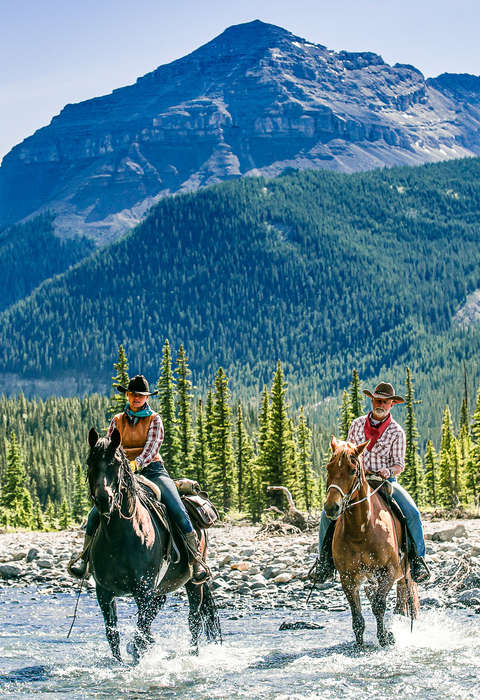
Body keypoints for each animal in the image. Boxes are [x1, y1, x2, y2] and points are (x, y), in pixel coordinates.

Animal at [86, 426, 221, 660]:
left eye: (116, 463)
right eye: (89, 462)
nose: (104, 500)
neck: (119, 537)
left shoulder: (144, 590)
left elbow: (140, 633)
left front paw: (139, 652)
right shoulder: (104, 592)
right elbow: (113, 636)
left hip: (194, 583)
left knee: (194, 619)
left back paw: (193, 654)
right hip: (161, 587)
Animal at [324, 434, 418, 648]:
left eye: (352, 470)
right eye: (328, 468)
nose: (331, 507)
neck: (360, 531)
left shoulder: (388, 571)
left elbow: (379, 605)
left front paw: (385, 638)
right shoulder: (348, 577)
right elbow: (357, 615)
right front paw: (360, 645)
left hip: (406, 573)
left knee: (404, 601)